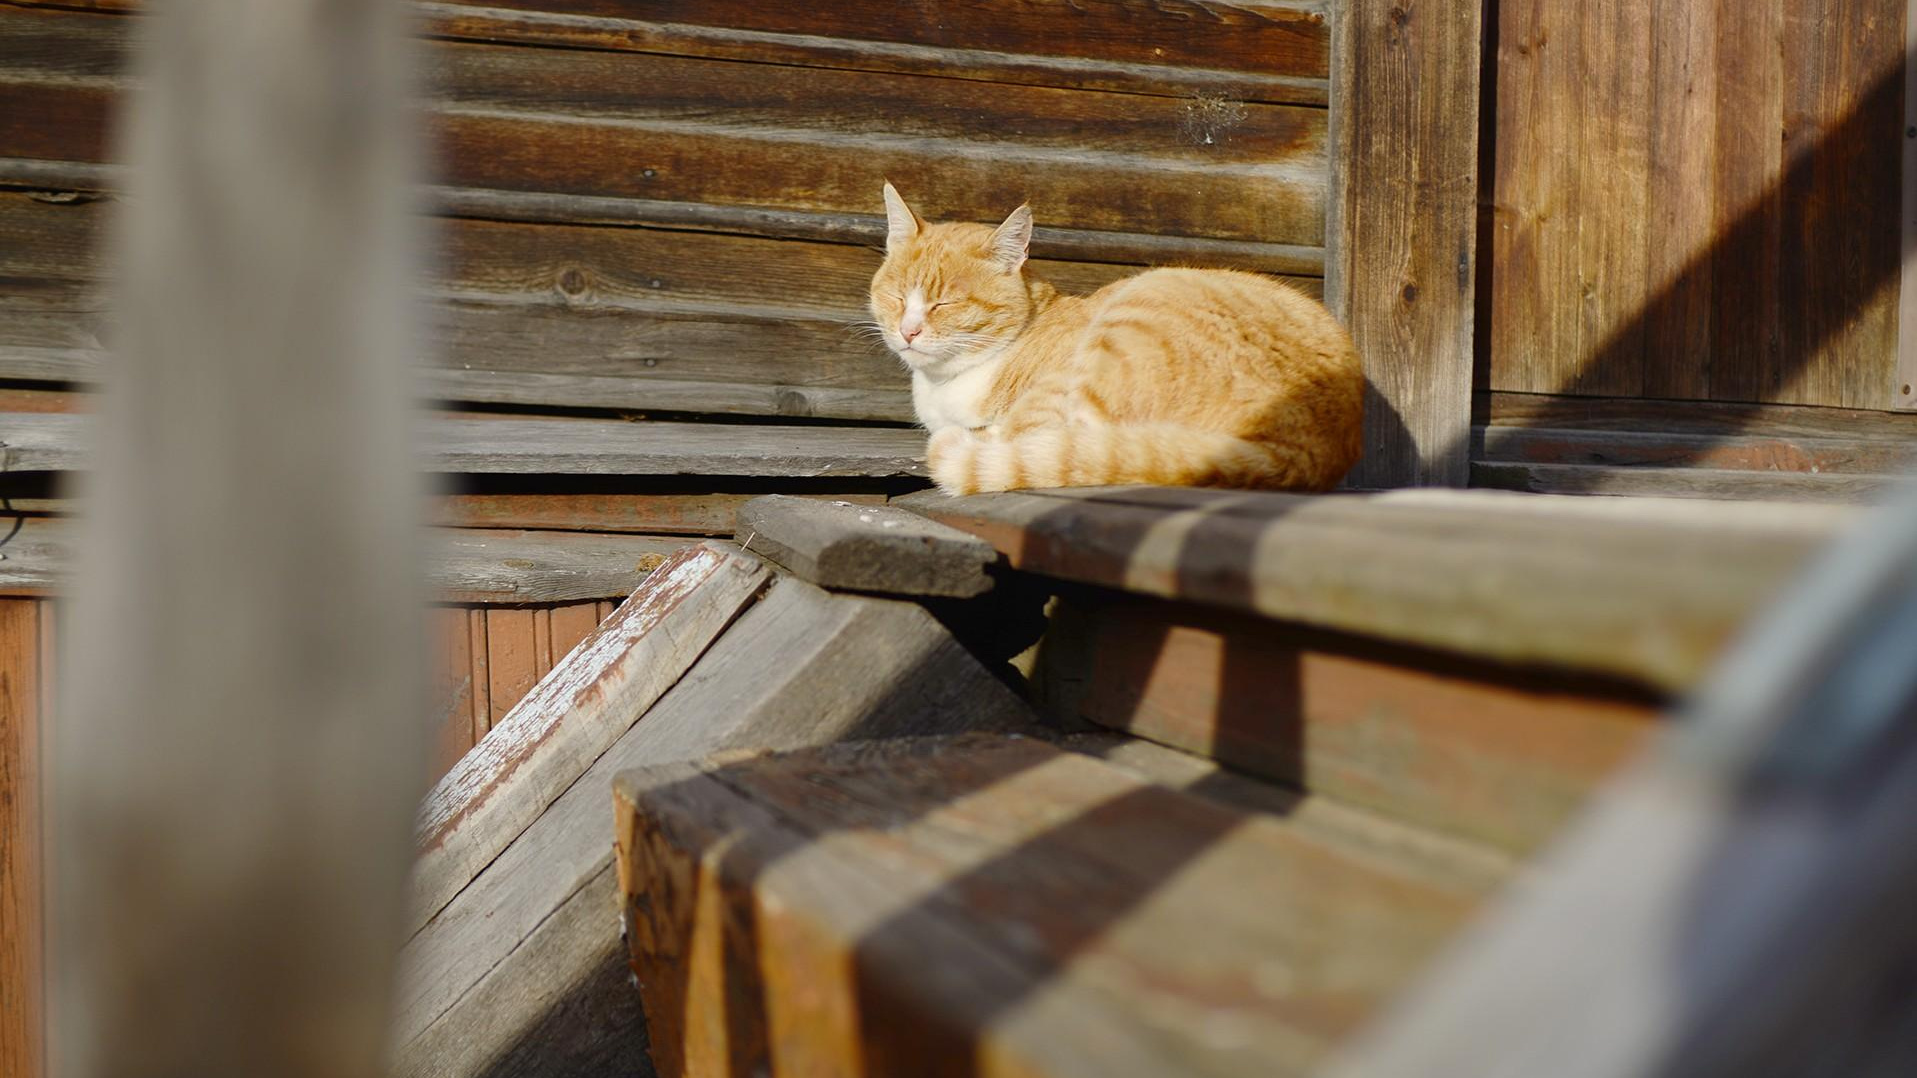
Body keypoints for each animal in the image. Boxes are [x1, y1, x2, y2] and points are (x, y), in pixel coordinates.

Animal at [870, 182, 1364, 494]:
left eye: (944, 303)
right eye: (896, 297)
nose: (908, 330)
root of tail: (1301, 453)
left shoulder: (1052, 392)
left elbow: (1022, 433)